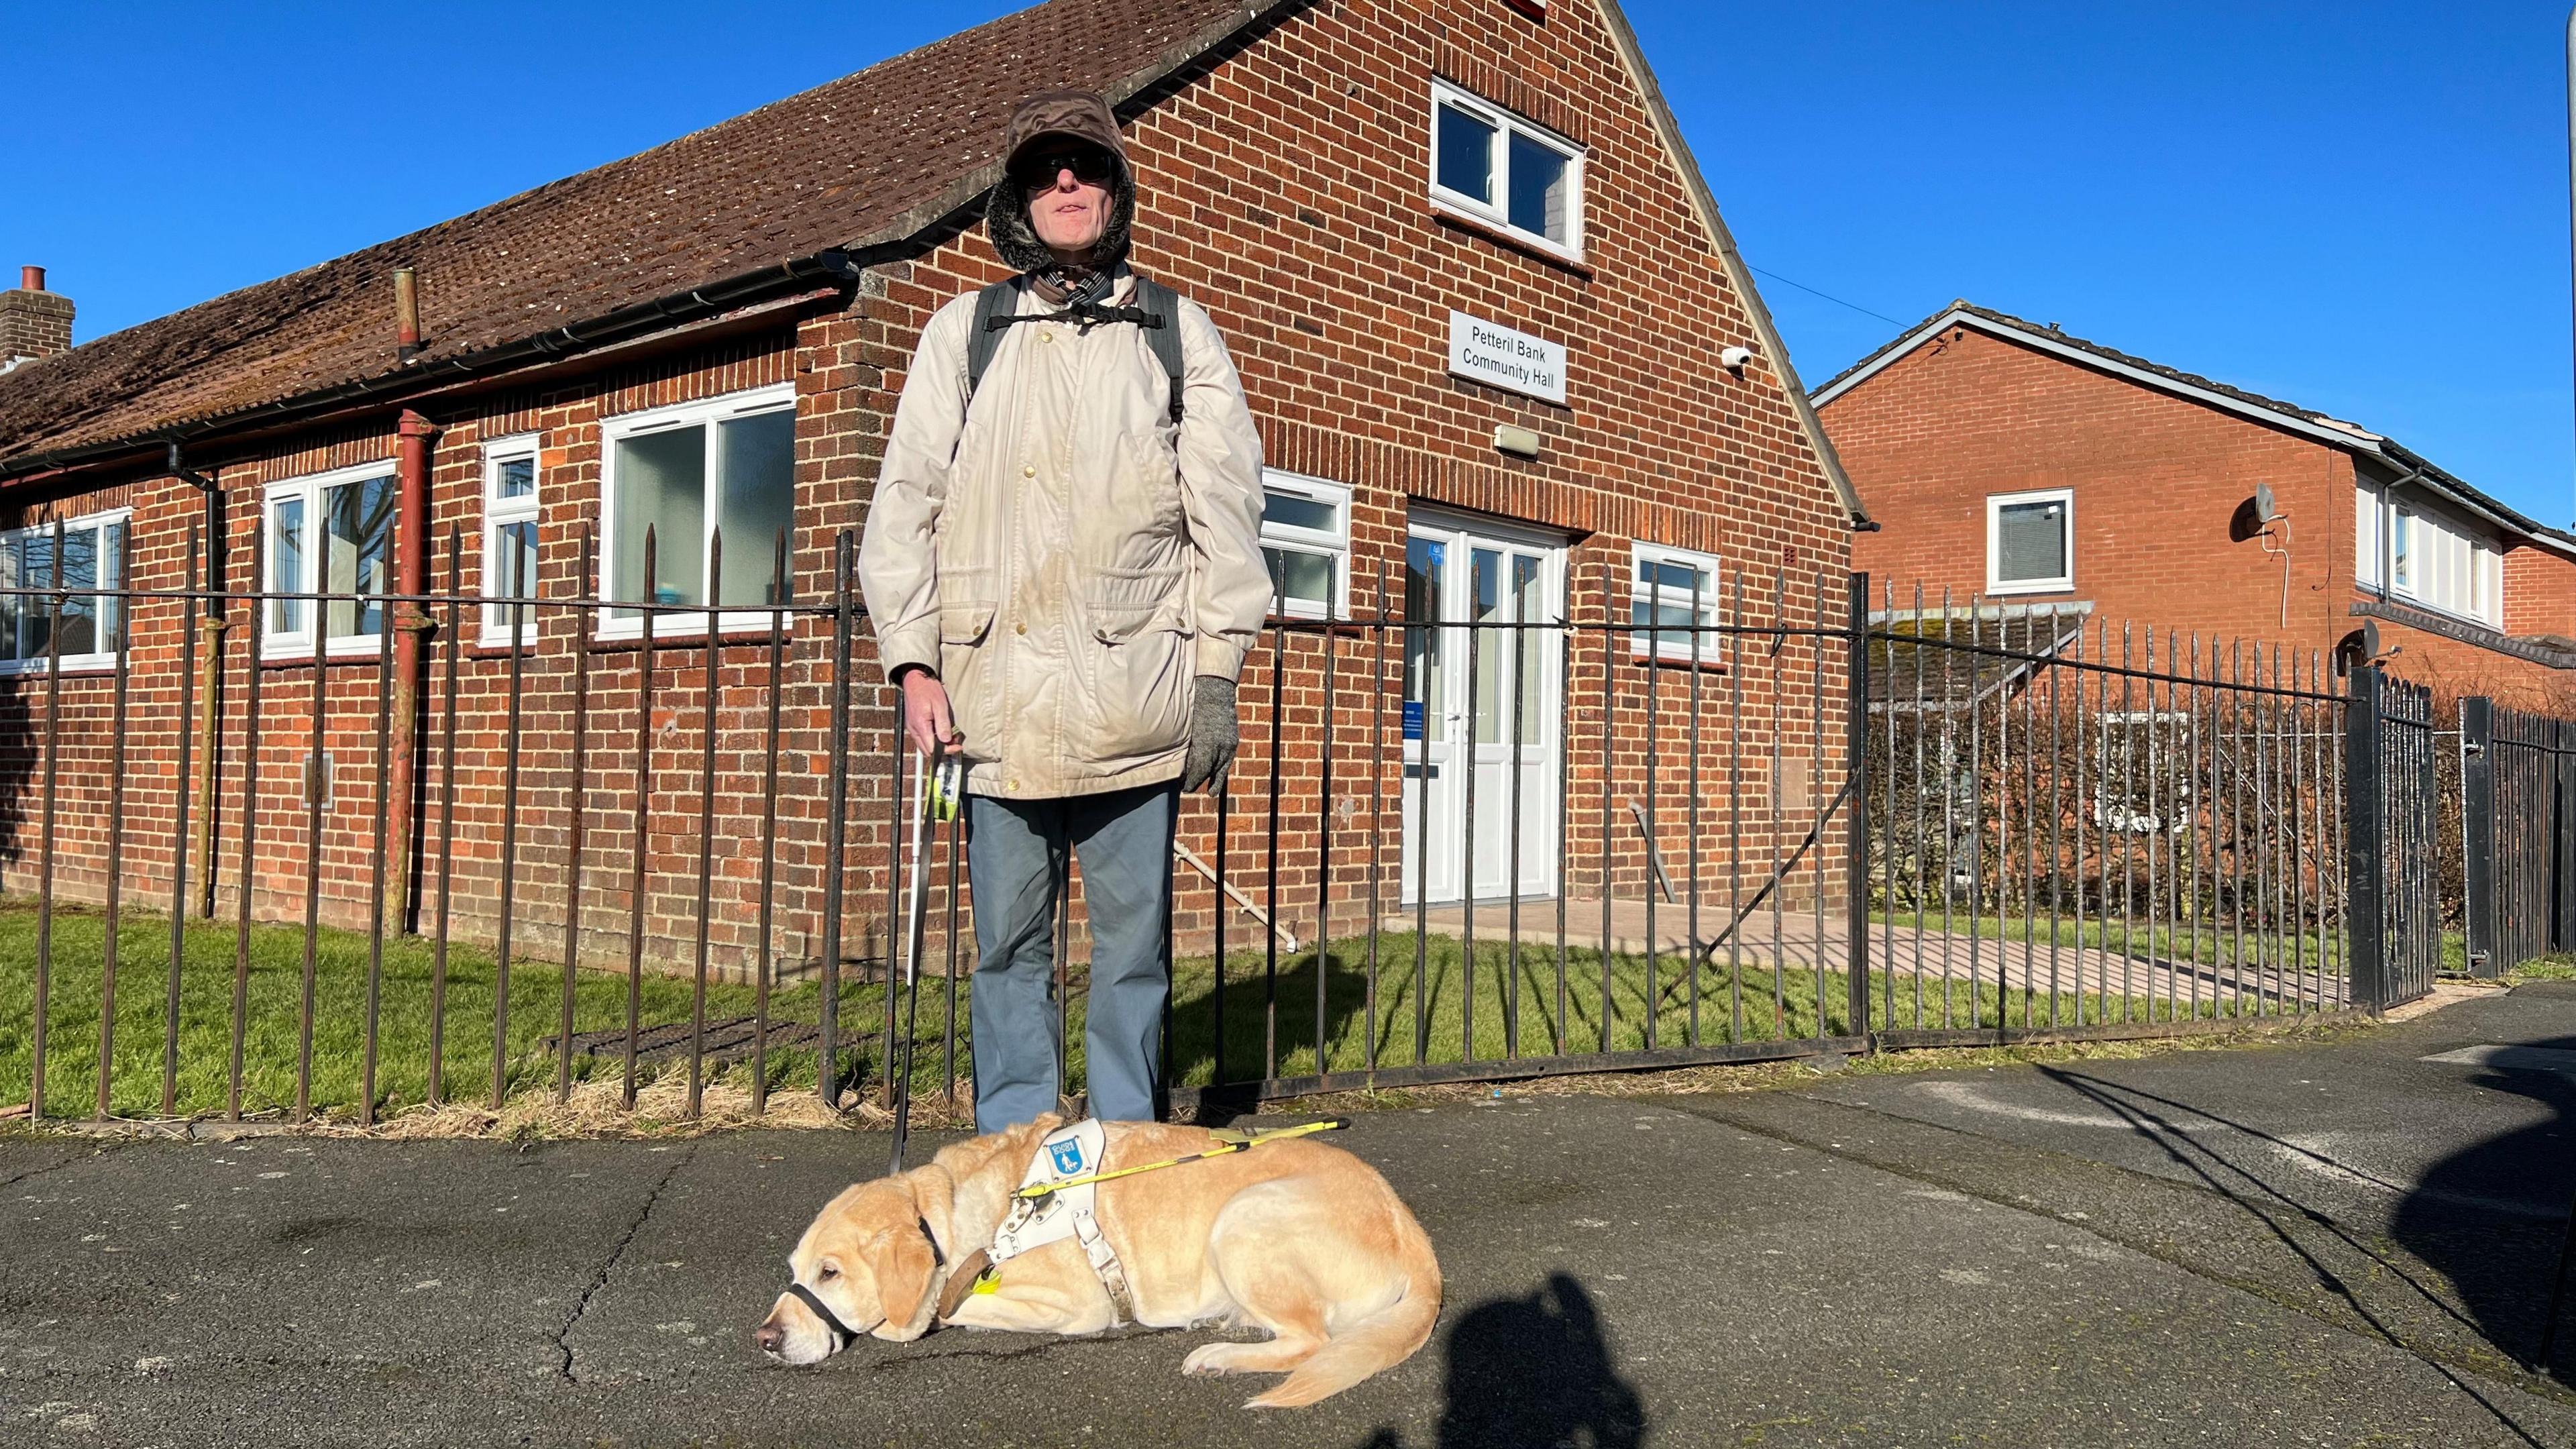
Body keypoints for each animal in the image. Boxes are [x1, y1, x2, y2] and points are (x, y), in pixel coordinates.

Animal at [752, 1108, 1442, 1402]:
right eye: (796, 1270)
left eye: (831, 1273)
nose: (764, 1339)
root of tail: (1412, 1231)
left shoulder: (1076, 1305)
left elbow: (945, 1308)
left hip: (1242, 1217)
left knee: (1311, 1342)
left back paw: (1219, 1356)